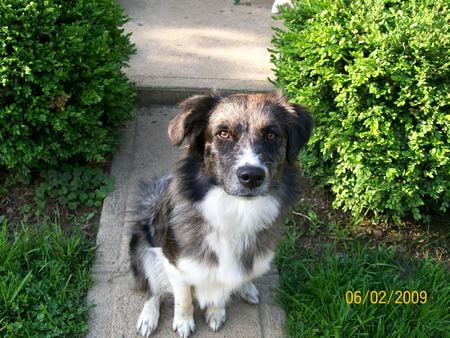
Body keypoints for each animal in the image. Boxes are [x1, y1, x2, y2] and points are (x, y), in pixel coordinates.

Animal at [129, 91, 312, 336]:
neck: (236, 211)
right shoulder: (174, 262)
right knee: (153, 289)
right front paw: (184, 321)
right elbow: (183, 297)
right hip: (141, 247)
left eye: (272, 134)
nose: (251, 176)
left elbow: (222, 289)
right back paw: (149, 317)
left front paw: (216, 312)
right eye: (223, 133)